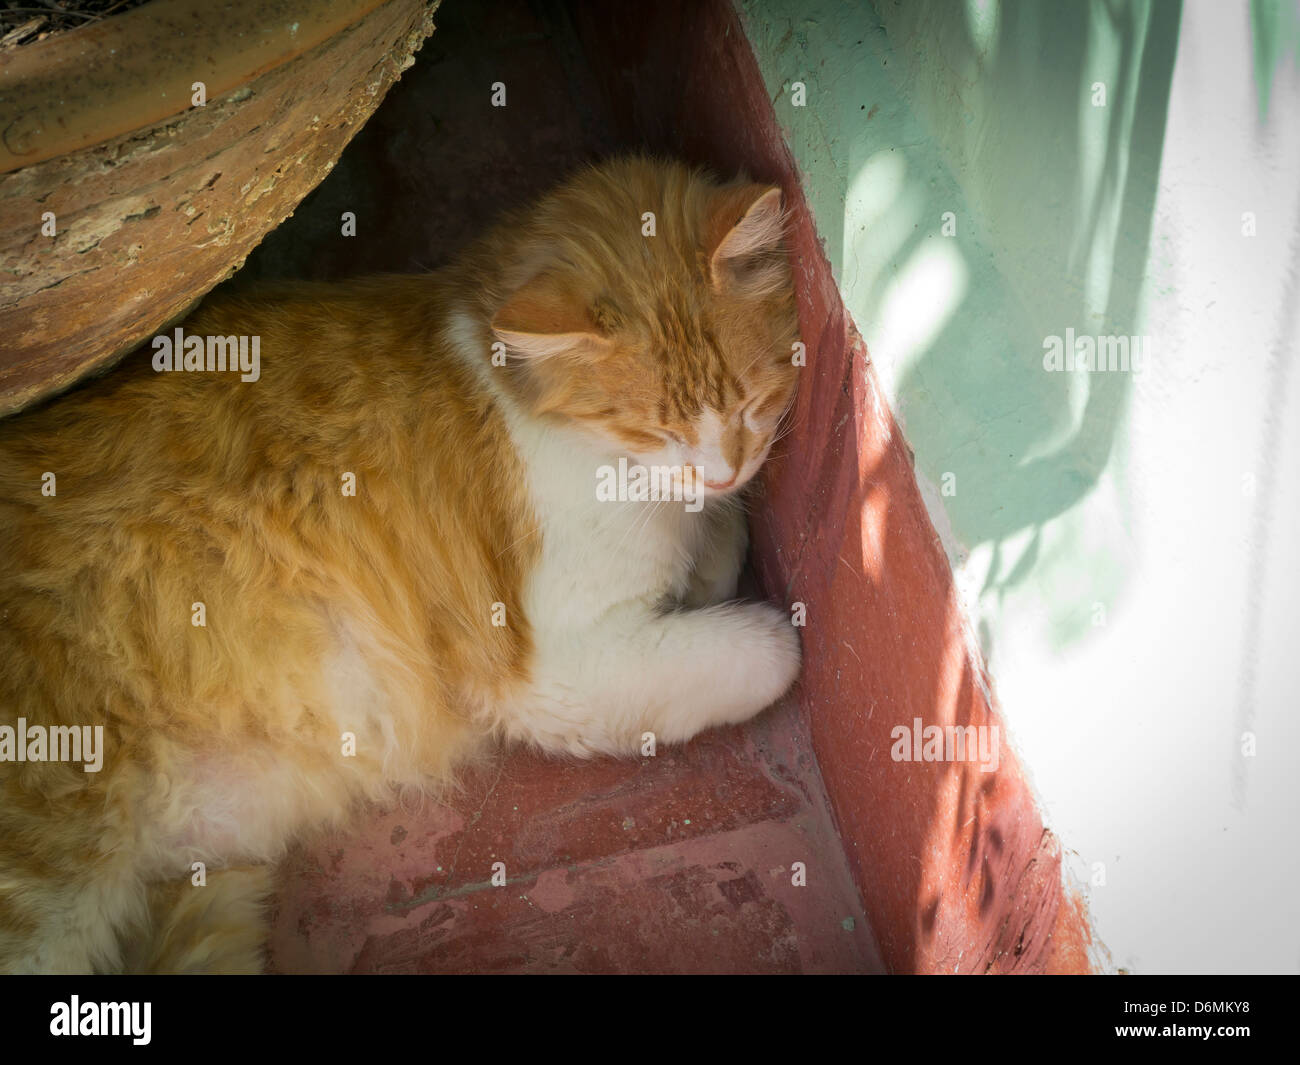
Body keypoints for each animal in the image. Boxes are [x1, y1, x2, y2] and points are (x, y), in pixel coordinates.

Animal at [0, 157, 800, 972]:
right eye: (653, 430)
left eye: (753, 403)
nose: (727, 469)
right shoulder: (551, 669)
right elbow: (765, 649)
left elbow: (721, 541)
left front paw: (709, 543)